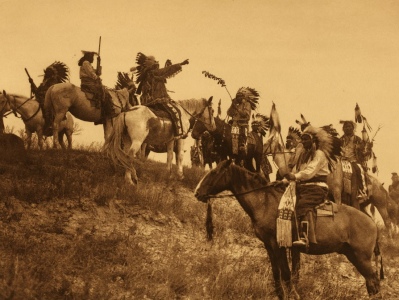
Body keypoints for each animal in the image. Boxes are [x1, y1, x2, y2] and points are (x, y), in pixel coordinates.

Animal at [195, 161, 382, 300]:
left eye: (214, 173)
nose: (197, 193)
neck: (265, 202)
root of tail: (373, 224)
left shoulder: (279, 245)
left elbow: (286, 274)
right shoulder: (269, 246)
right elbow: (277, 273)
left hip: (361, 257)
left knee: (373, 282)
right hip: (352, 254)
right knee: (371, 283)